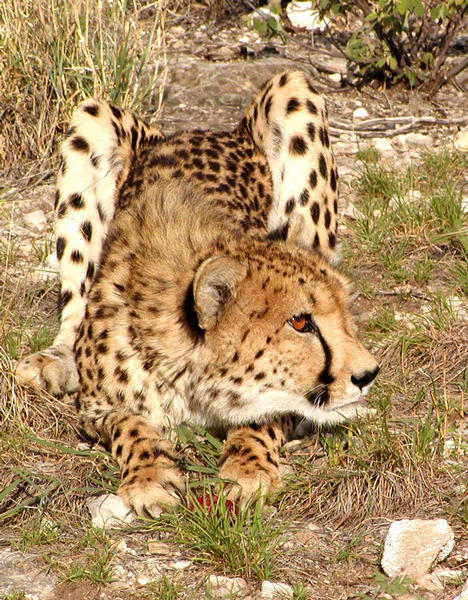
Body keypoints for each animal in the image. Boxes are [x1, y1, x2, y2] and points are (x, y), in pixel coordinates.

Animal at [16, 72, 378, 516]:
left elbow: (265, 418)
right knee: (73, 310)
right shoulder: (93, 408)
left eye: (344, 312)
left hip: (294, 92)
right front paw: (151, 476)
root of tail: (203, 131)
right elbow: (130, 425)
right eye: (300, 322)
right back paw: (55, 360)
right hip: (90, 118)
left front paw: (249, 467)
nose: (368, 374)